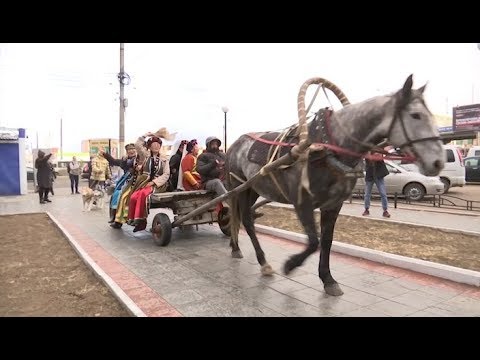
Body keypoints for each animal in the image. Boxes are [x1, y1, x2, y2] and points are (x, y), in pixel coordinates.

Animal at [227, 74, 444, 296]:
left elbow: (326, 240)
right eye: (416, 115)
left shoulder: (333, 205)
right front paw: (291, 265)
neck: (326, 147)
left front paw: (328, 279)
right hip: (238, 187)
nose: (438, 162)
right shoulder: (302, 203)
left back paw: (242, 250)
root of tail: (235, 143)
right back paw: (257, 259)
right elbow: (313, 241)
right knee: (244, 219)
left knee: (244, 217)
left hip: (252, 189)